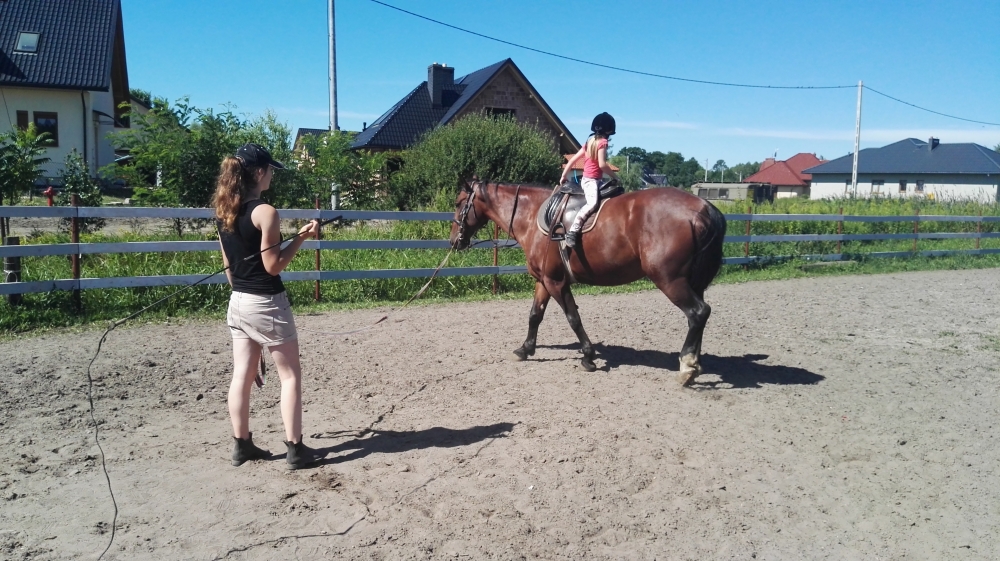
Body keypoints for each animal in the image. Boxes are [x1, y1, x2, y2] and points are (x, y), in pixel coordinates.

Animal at [449, 180, 727, 385]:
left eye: (459, 203)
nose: (454, 240)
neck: (533, 215)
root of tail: (703, 207)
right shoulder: (543, 281)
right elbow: (535, 315)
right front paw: (525, 349)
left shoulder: (556, 282)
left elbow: (573, 317)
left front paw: (588, 356)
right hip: (693, 282)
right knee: (698, 317)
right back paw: (694, 362)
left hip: (670, 280)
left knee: (698, 312)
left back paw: (687, 366)